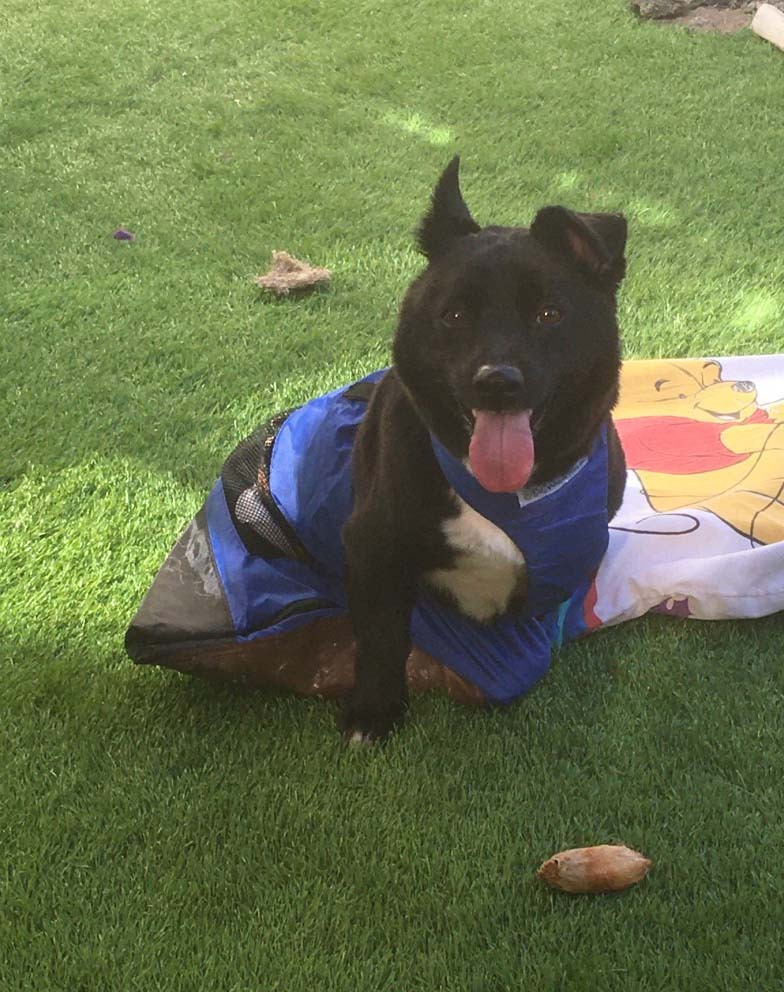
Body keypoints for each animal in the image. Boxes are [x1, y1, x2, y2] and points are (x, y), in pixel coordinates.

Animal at [340, 159, 628, 740]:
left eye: (549, 314)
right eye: (453, 316)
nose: (497, 381)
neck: (510, 494)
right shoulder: (372, 549)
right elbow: (381, 637)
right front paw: (374, 710)